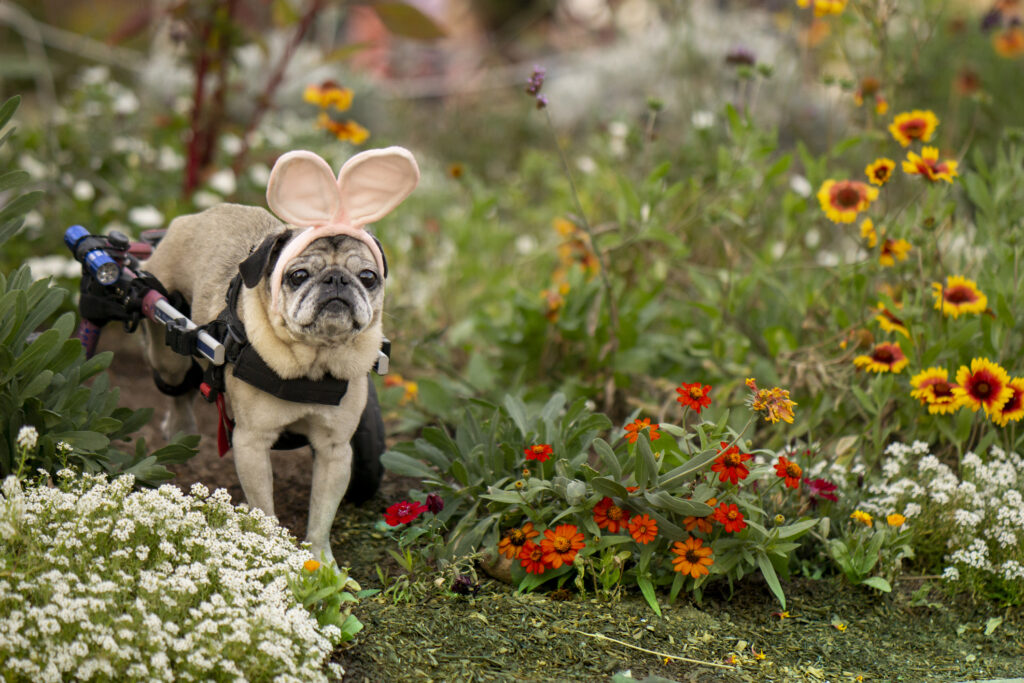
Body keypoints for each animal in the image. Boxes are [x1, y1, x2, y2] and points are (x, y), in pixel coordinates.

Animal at [141, 147, 419, 565]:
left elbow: (321, 515)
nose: (337, 280)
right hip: (167, 344)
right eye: (298, 275)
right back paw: (179, 426)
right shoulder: (252, 444)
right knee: (179, 382)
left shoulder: (334, 451)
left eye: (369, 278)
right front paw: (271, 551)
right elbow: (265, 512)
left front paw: (321, 563)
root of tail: (192, 217)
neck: (314, 360)